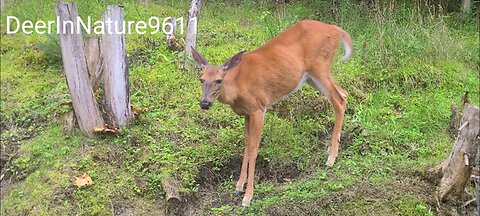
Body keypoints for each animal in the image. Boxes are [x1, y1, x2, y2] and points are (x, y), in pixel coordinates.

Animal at [191, 19, 352, 206]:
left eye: (218, 80)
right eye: (201, 79)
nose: (204, 103)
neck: (237, 87)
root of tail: (336, 29)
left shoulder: (258, 108)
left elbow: (254, 149)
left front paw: (247, 197)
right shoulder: (246, 113)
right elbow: (246, 145)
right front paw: (238, 186)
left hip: (320, 66)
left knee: (338, 100)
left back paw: (331, 158)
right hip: (310, 77)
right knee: (344, 94)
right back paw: (333, 148)